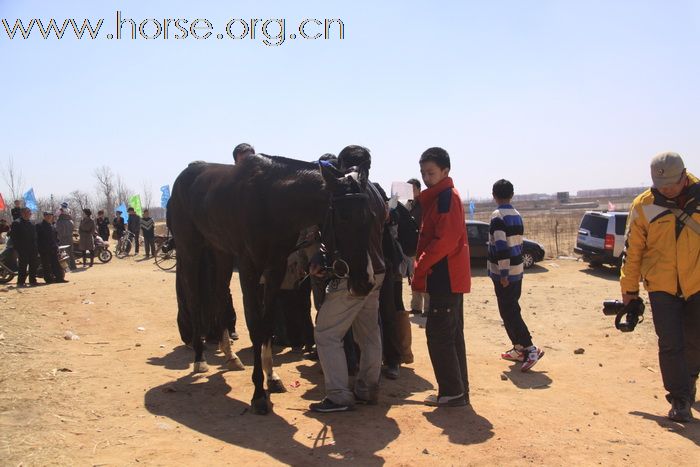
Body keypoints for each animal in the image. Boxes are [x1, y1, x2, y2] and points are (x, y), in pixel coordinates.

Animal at [168, 155, 378, 414]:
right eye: (344, 217)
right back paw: (199, 358)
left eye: (371, 217)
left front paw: (272, 377)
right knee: (195, 299)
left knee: (218, 295)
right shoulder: (249, 269)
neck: (269, 200)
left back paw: (230, 355)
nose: (365, 282)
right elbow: (255, 325)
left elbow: (267, 323)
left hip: (221, 252)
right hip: (190, 250)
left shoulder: (276, 268)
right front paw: (258, 393)